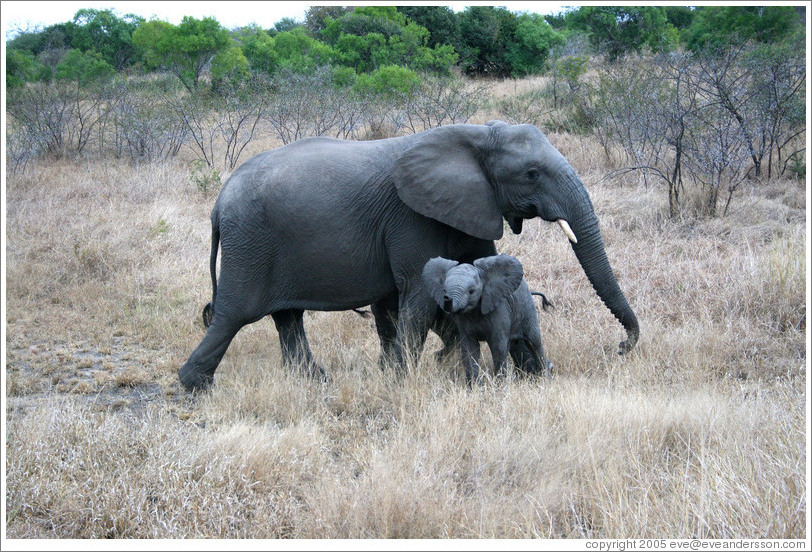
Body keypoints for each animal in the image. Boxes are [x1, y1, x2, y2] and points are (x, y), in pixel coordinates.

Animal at [421, 254, 553, 383]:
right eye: (444, 290)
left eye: (471, 291)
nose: (447, 298)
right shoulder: (463, 320)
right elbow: (469, 348)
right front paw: (473, 386)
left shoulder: (499, 309)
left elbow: (498, 347)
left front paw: (500, 385)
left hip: (527, 307)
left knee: (533, 342)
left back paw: (545, 378)